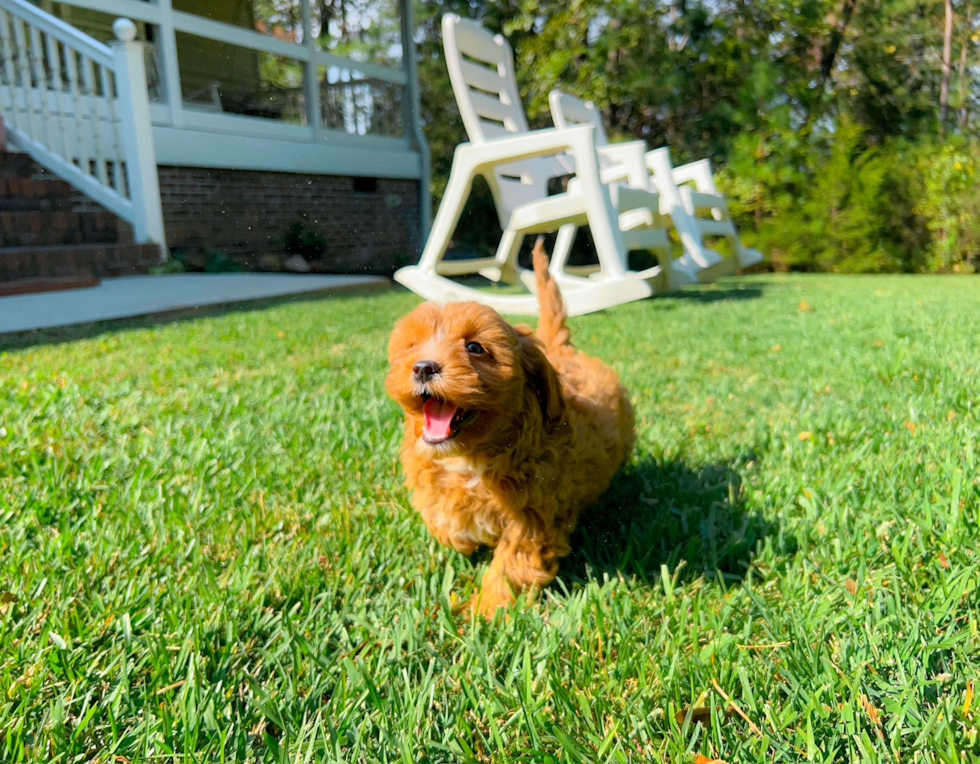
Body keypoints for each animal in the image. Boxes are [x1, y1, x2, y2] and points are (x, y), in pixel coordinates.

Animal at [386, 242, 640, 616]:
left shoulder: (532, 516)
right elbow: (442, 517)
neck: (469, 457)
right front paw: (460, 534)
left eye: (474, 347)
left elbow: (512, 560)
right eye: (412, 346)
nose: (422, 367)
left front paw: (487, 610)